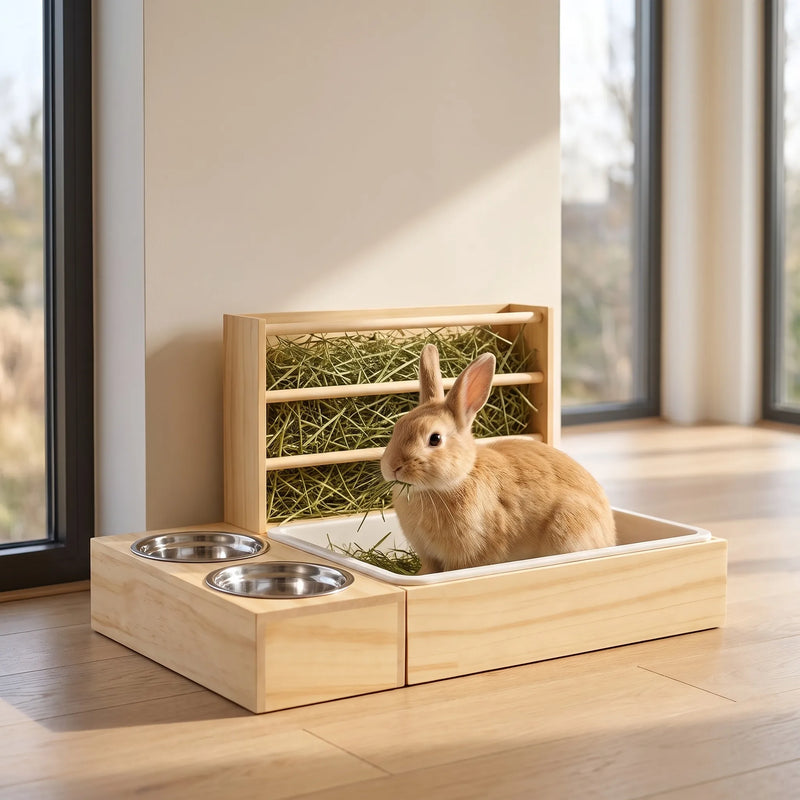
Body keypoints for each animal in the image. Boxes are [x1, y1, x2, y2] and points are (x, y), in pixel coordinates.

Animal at [380, 344, 616, 573]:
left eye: (435, 439)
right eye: (397, 427)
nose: (392, 466)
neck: (453, 482)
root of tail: (609, 535)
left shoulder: (466, 556)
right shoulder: (429, 556)